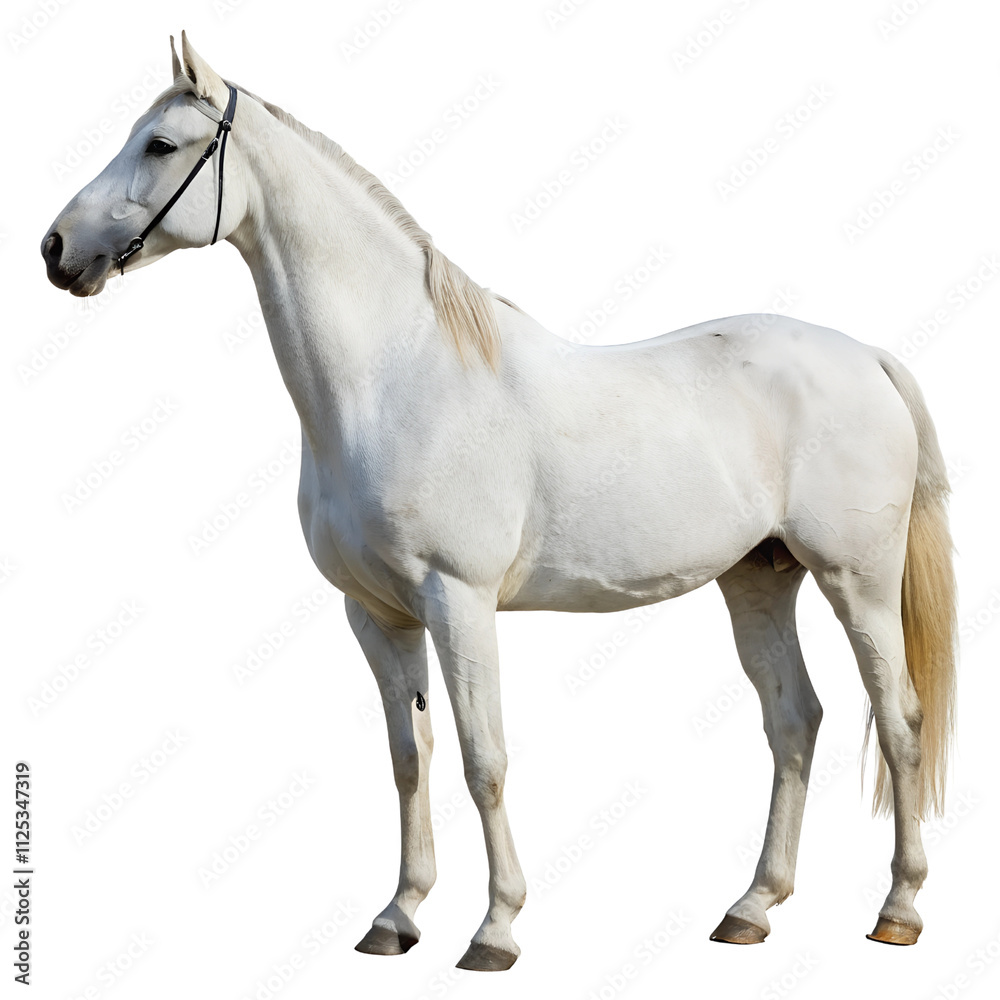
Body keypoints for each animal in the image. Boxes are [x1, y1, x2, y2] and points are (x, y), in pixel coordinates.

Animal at [41, 33, 957, 972]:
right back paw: (752, 908)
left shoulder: (459, 601)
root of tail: (867, 356)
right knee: (794, 721)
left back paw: (899, 910)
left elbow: (484, 759)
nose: (55, 248)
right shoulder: (375, 614)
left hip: (858, 580)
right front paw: (397, 917)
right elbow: (409, 758)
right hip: (758, 579)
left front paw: (496, 929)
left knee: (900, 721)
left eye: (161, 144)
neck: (394, 378)